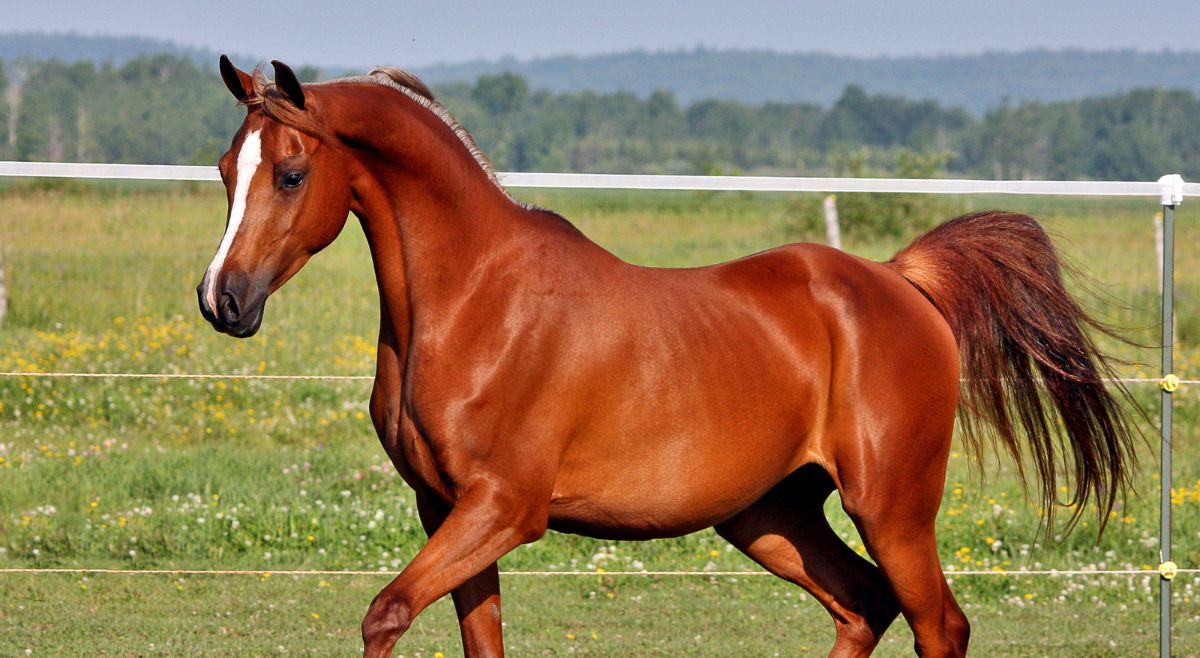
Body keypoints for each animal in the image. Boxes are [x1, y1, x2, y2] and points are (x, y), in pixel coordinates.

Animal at [197, 56, 1138, 658]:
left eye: (290, 173)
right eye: (224, 169)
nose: (223, 300)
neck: (473, 300)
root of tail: (901, 284)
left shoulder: (504, 509)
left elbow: (385, 613)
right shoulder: (446, 511)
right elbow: (476, 636)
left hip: (893, 508)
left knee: (939, 625)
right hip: (770, 516)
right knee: (864, 606)